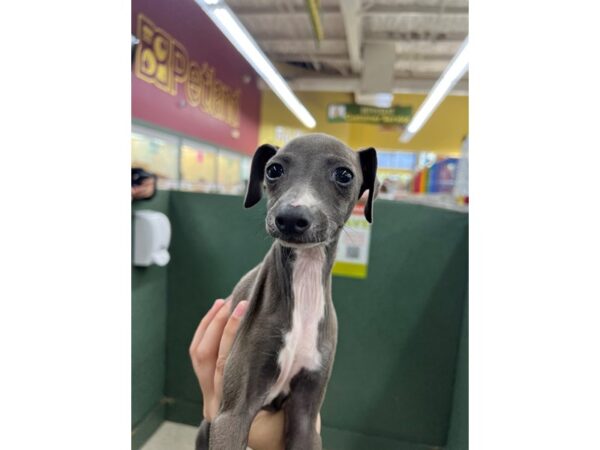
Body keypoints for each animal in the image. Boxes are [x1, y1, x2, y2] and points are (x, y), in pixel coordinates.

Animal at [195, 134, 378, 450]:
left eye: (344, 175)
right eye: (273, 170)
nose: (291, 217)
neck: (304, 285)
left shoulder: (306, 417)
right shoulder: (232, 416)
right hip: (205, 427)